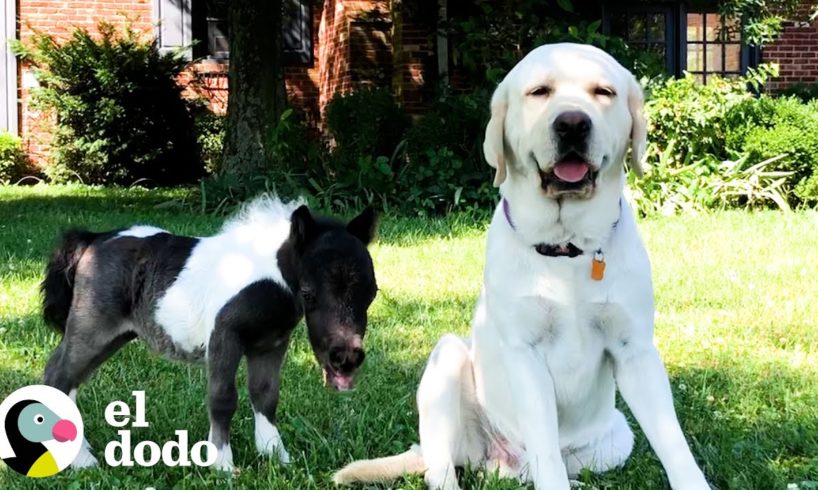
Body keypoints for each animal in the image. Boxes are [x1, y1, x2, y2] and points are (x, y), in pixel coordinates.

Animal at [39, 195, 378, 470]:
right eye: (308, 294)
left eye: (372, 293)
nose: (345, 359)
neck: (265, 277)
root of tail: (93, 239)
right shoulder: (224, 338)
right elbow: (223, 397)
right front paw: (222, 464)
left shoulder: (271, 345)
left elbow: (266, 395)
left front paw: (277, 456)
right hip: (93, 326)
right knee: (60, 375)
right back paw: (82, 461)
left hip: (112, 336)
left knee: (64, 375)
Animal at [332, 43, 708, 490]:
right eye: (539, 92)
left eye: (604, 92)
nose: (572, 124)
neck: (568, 247)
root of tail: (505, 460)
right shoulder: (525, 353)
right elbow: (545, 446)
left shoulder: (635, 350)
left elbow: (674, 444)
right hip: (447, 361)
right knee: (444, 468)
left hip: (617, 438)